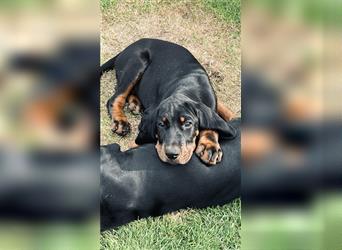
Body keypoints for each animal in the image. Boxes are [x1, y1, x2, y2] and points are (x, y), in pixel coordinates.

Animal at [100, 38, 236, 165]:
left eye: (188, 124)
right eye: (160, 124)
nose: (172, 154)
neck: (189, 88)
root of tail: (127, 48)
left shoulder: (211, 102)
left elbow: (212, 122)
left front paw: (210, 146)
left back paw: (135, 103)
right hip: (136, 63)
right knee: (115, 98)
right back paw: (121, 121)